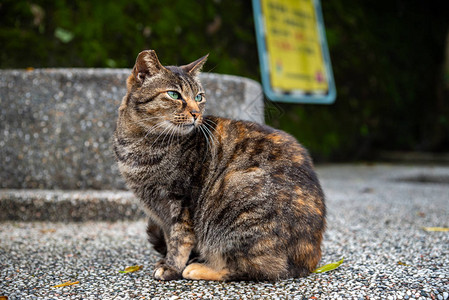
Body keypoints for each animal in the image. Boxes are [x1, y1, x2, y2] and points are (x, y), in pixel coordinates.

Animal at [114, 49, 324, 282]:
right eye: (174, 95)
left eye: (199, 97)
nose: (196, 113)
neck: (141, 143)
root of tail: (309, 261)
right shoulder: (161, 213)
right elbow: (170, 239)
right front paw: (168, 261)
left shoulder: (180, 201)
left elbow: (180, 240)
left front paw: (171, 267)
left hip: (236, 190)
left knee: (258, 268)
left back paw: (198, 267)